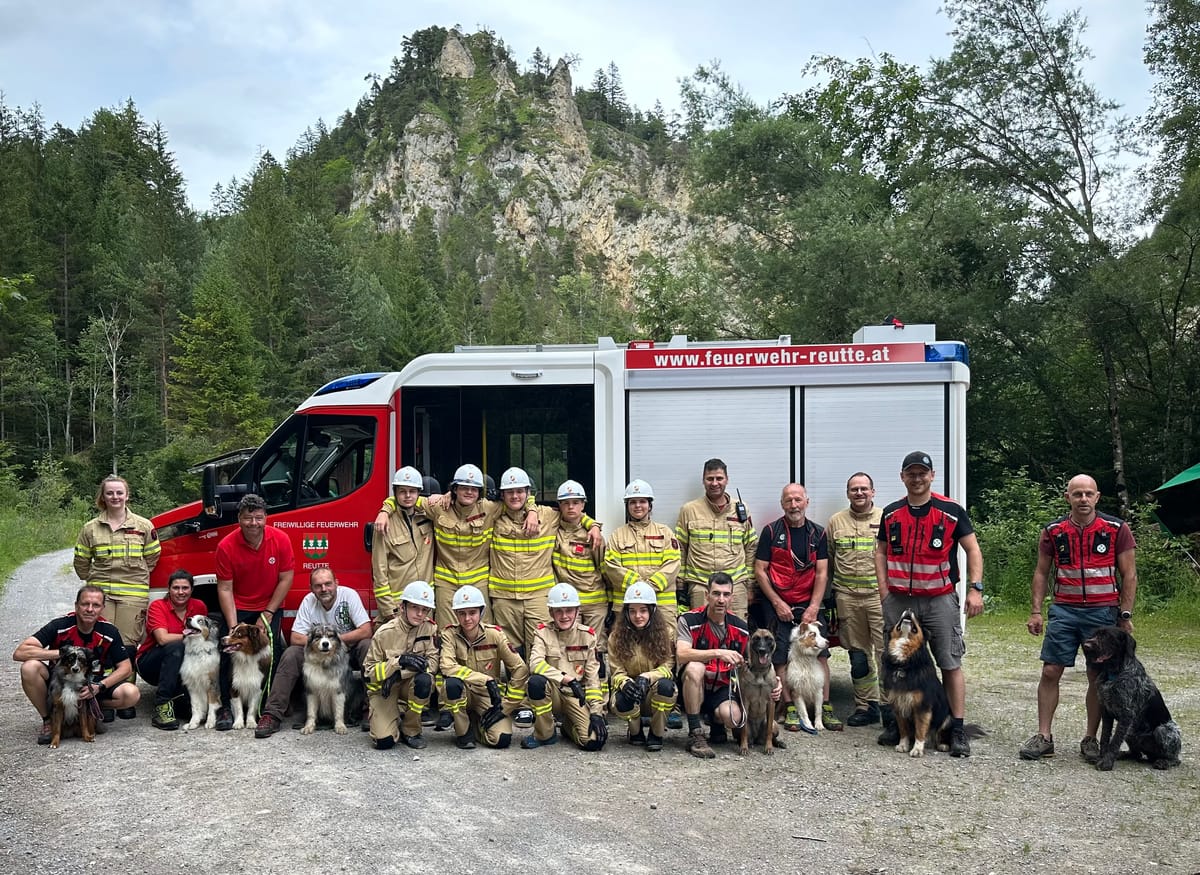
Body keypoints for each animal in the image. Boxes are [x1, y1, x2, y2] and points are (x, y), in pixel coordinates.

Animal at [878, 607, 950, 758]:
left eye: (919, 620)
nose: (909, 609)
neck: (904, 664)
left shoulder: (922, 706)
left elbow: (920, 730)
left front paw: (917, 749)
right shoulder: (898, 705)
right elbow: (903, 730)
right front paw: (903, 745)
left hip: (947, 718)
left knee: (942, 733)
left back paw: (943, 745)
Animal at [1084, 624, 1176, 768]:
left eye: (1107, 636)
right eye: (1095, 634)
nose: (1086, 645)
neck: (1114, 673)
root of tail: (1151, 757)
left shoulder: (1127, 715)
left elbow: (1115, 741)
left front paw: (1106, 762)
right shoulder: (1106, 712)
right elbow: (1105, 737)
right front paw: (1101, 757)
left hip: (1163, 730)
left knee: (1175, 758)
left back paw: (1164, 761)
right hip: (1131, 732)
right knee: (1136, 754)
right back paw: (1123, 755)